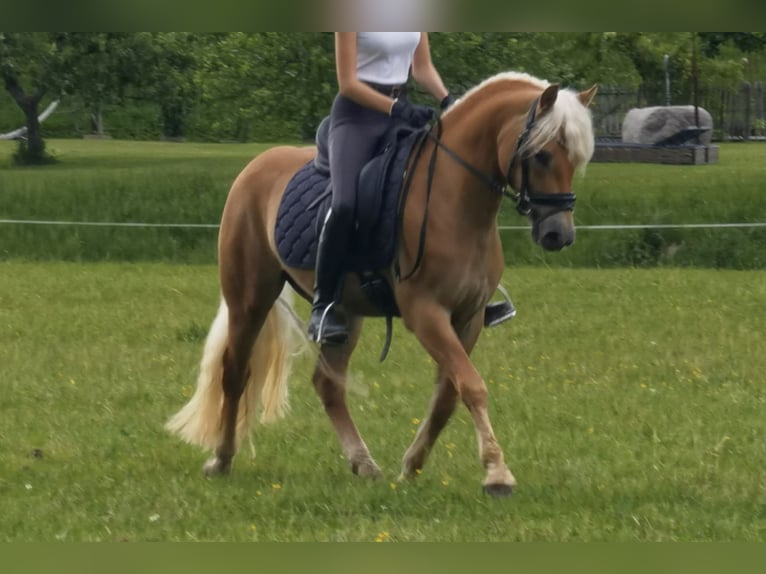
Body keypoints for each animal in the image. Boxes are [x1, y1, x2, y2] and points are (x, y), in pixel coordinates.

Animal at [166, 71, 597, 496]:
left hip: (344, 313)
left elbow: (449, 394)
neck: (455, 198)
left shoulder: (469, 317)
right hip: (249, 298)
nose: (559, 235)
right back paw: (222, 459)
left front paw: (412, 466)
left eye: (577, 159)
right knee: (235, 371)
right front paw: (496, 471)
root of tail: (256, 165)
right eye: (542, 155)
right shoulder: (425, 314)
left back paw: (363, 463)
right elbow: (472, 385)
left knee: (328, 383)